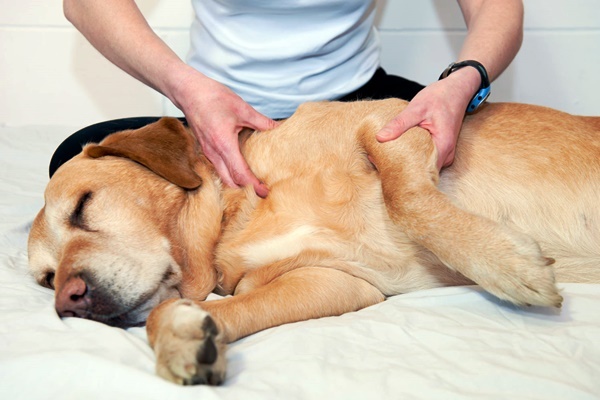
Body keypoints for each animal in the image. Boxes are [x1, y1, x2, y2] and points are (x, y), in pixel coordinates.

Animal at [27, 99, 600, 384]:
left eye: (82, 205)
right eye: (46, 279)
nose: (67, 302)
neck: (239, 216)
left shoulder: (391, 122)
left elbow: (407, 198)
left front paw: (508, 266)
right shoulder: (335, 282)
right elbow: (191, 312)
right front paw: (181, 339)